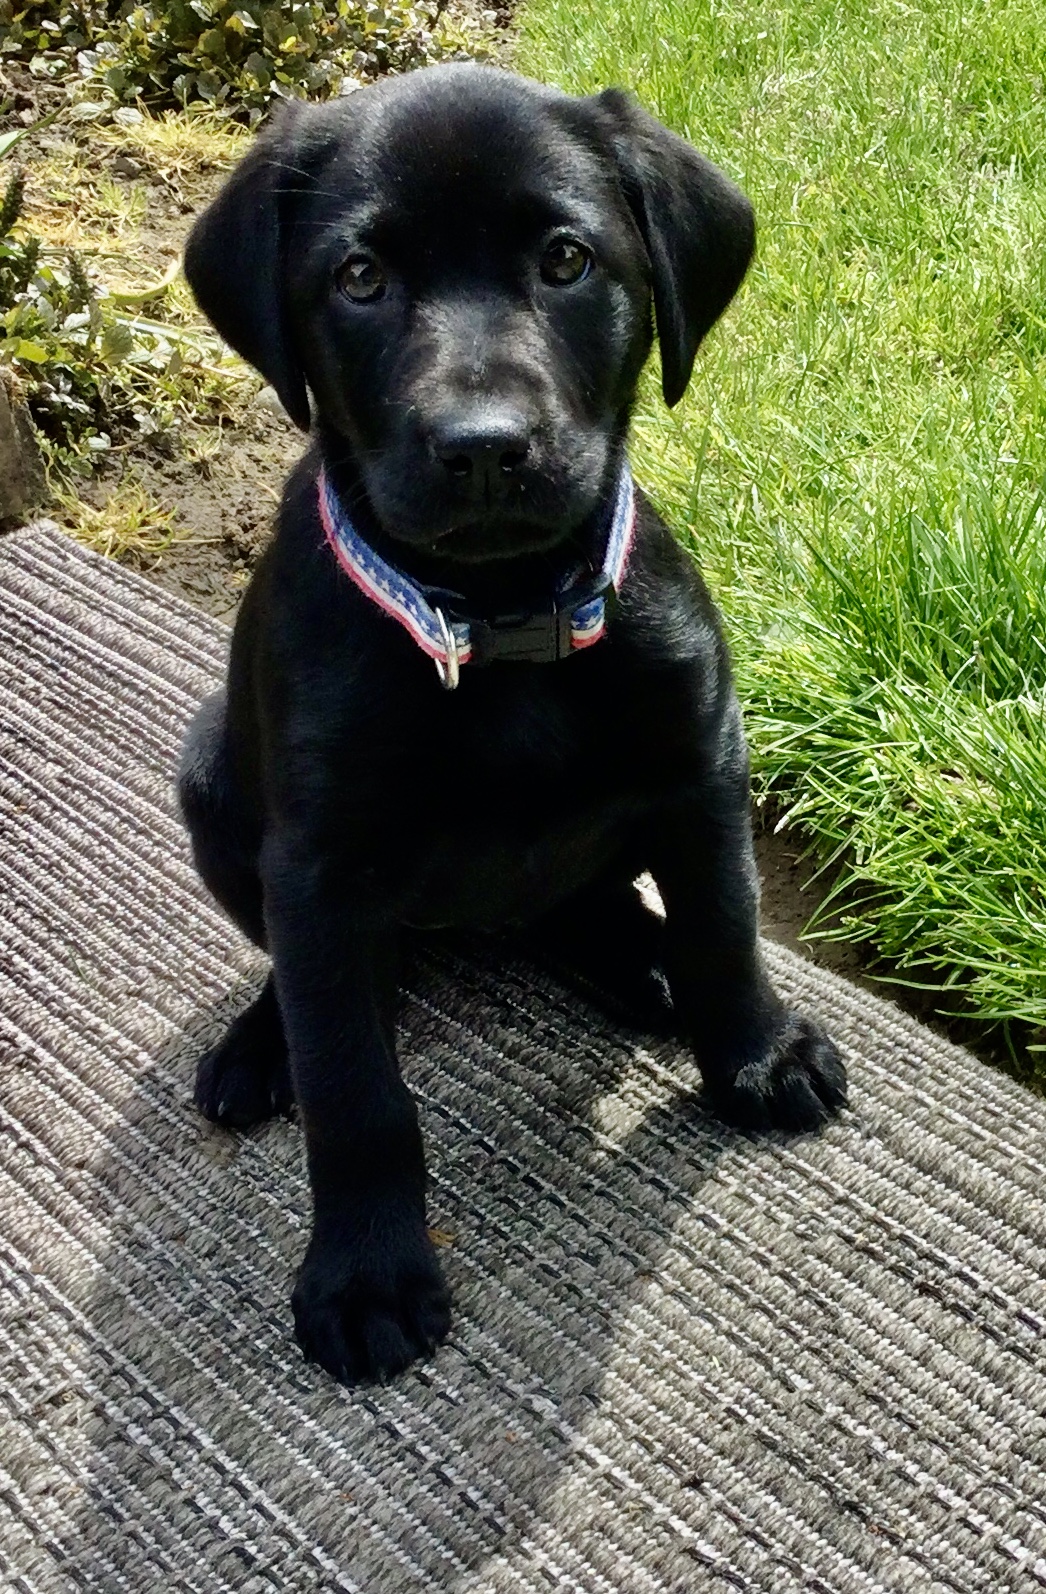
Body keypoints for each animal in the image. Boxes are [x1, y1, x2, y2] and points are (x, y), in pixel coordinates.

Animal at [180, 62, 848, 1383]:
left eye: (563, 259)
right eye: (360, 277)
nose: (483, 449)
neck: (495, 622)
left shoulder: (700, 765)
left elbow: (726, 924)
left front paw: (753, 1052)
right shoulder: (318, 865)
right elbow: (356, 1092)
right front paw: (366, 1272)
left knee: (581, 907)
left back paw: (639, 958)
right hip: (210, 786)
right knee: (303, 976)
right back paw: (260, 1043)